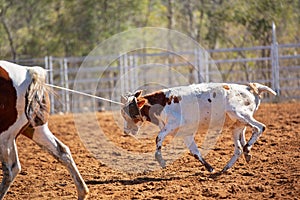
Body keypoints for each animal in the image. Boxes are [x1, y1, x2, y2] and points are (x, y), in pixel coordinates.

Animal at [0, 61, 88, 200]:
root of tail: (30, 72)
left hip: (5, 134)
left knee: (10, 169)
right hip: (36, 129)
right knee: (62, 151)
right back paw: (82, 192)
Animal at [121, 82, 276, 173]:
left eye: (129, 112)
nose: (126, 130)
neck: (163, 103)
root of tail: (249, 88)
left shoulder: (171, 125)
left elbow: (158, 138)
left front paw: (161, 160)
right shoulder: (186, 134)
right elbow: (195, 152)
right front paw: (210, 168)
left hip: (240, 114)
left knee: (259, 128)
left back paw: (247, 148)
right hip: (236, 125)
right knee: (238, 148)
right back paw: (229, 165)